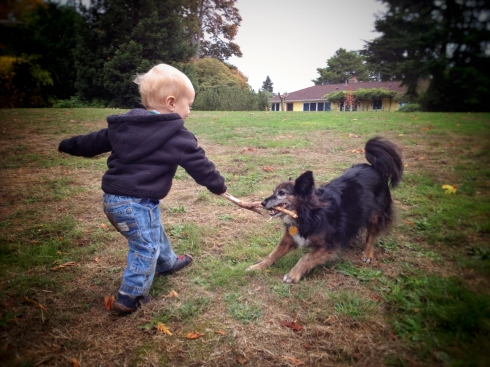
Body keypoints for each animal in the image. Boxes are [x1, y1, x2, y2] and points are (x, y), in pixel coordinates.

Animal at [247, 137, 404, 284]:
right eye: (273, 191)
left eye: (281, 193)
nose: (262, 203)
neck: (309, 213)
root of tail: (374, 167)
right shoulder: (289, 238)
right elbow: (272, 254)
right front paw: (257, 267)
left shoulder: (328, 245)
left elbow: (306, 257)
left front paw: (293, 275)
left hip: (374, 215)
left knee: (371, 234)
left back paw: (367, 254)